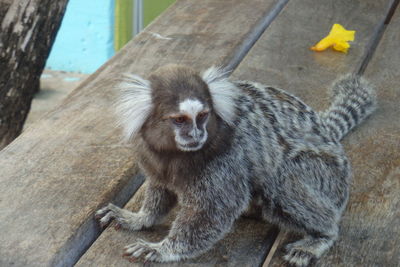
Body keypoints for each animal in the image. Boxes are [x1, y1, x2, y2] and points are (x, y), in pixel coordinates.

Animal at [95, 64, 376, 266]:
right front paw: (138, 218)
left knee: (282, 183)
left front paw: (162, 249)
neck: (177, 155)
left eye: (202, 116)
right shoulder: (153, 159)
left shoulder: (225, 160)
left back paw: (321, 236)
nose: (196, 134)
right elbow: (160, 190)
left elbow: (214, 208)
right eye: (180, 120)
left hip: (327, 174)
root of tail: (329, 135)